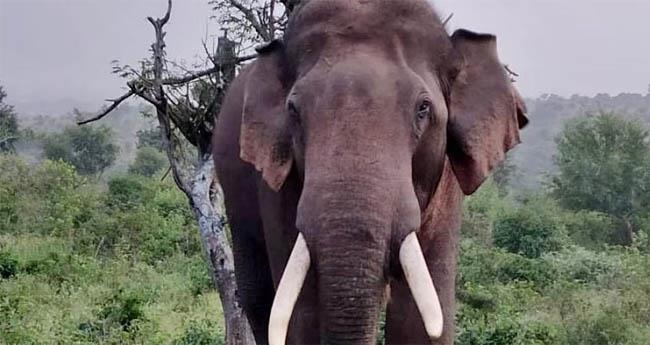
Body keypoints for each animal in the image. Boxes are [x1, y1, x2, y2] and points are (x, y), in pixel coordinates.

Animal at [213, 0, 528, 344]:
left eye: (423, 108)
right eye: (293, 110)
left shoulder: (445, 187)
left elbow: (421, 317)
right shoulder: (278, 184)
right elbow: (302, 313)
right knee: (259, 299)